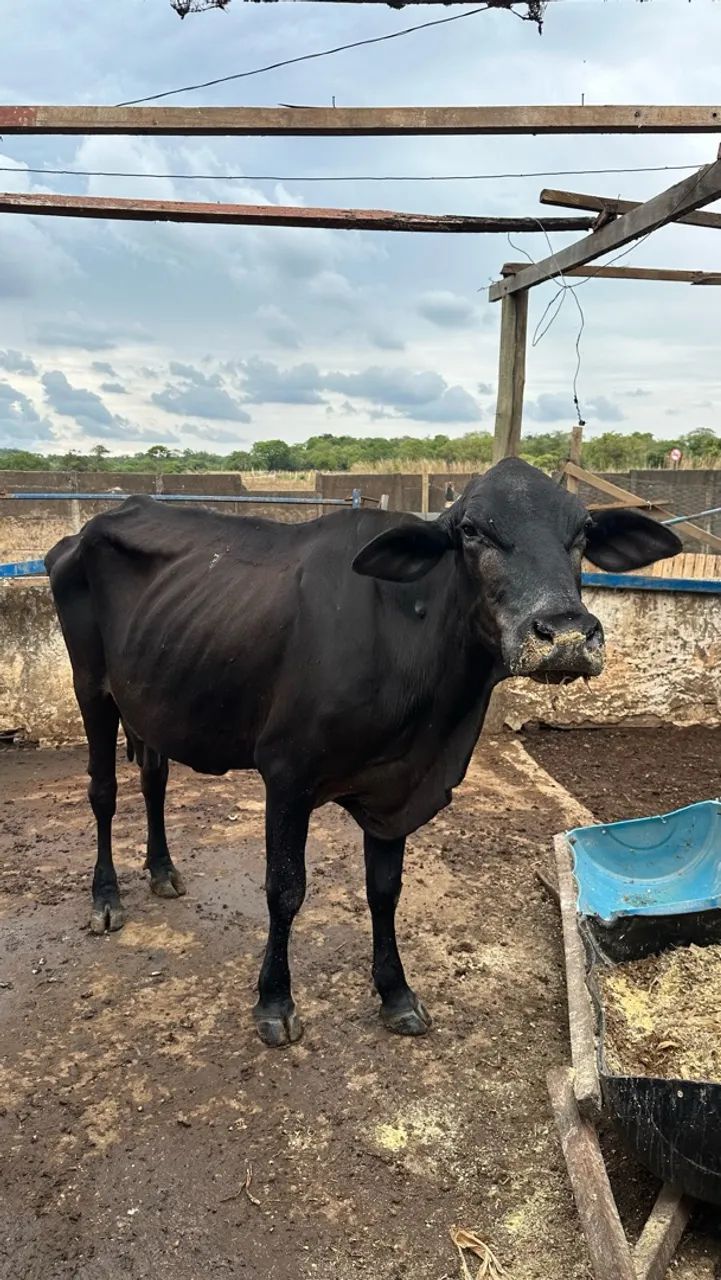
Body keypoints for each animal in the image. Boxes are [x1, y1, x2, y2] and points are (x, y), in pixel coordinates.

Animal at [45, 459, 681, 1046]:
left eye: (583, 533)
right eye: (471, 530)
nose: (567, 635)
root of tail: (91, 526)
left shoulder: (395, 787)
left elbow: (384, 890)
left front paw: (396, 993)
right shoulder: (287, 774)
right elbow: (285, 889)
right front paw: (274, 1002)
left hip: (152, 701)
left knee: (153, 779)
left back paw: (162, 870)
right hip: (91, 687)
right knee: (103, 792)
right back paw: (106, 898)